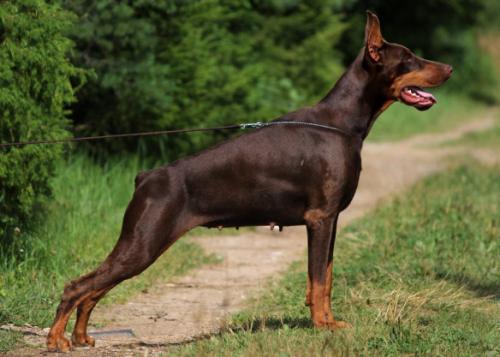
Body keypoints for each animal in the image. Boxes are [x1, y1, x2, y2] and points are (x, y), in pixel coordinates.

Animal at [47, 11, 454, 350]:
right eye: (409, 59)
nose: (449, 68)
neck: (342, 122)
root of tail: (146, 176)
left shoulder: (332, 219)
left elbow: (326, 277)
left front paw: (329, 322)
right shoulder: (320, 217)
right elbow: (318, 280)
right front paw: (322, 327)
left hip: (139, 244)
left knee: (93, 290)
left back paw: (81, 337)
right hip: (143, 242)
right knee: (77, 286)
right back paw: (56, 340)